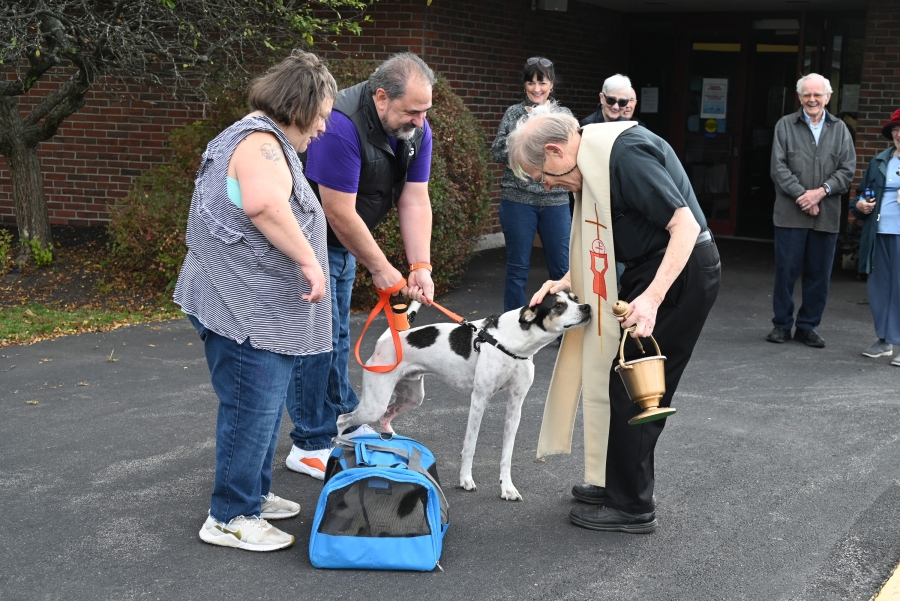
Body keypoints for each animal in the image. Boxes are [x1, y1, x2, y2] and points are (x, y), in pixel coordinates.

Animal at [336, 290, 592, 502]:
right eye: (558, 305)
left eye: (575, 298)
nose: (587, 307)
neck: (511, 343)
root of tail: (388, 339)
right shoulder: (479, 401)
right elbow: (470, 445)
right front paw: (465, 480)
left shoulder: (515, 406)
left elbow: (507, 454)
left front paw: (507, 488)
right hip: (374, 403)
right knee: (342, 419)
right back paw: (337, 446)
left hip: (410, 398)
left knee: (385, 417)